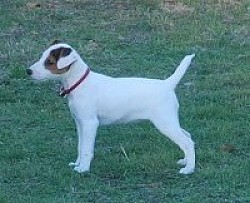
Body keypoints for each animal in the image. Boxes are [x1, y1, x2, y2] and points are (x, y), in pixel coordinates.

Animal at [26, 41, 195, 174]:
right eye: (42, 57)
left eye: (49, 62)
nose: (28, 71)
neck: (79, 83)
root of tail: (167, 84)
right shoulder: (80, 123)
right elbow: (81, 147)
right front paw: (77, 164)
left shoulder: (90, 123)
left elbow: (86, 149)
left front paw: (83, 169)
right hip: (169, 121)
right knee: (188, 136)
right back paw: (185, 161)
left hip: (165, 123)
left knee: (187, 142)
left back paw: (189, 169)